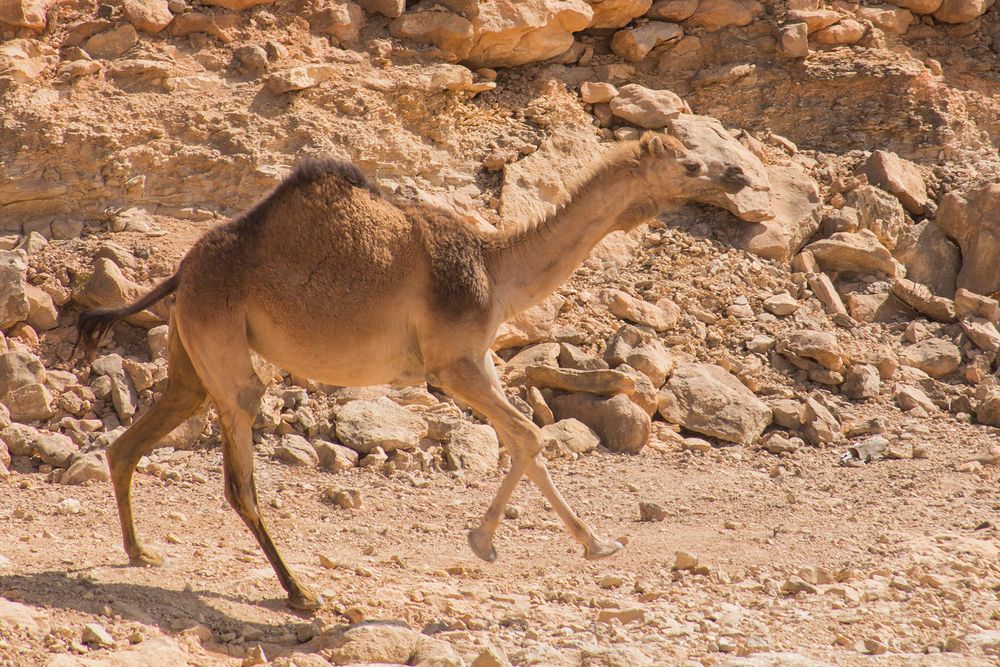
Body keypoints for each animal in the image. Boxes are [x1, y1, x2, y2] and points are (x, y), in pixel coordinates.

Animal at [78, 133, 752, 612]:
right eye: (692, 164)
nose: (740, 174)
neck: (494, 267)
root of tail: (183, 270)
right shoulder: (452, 365)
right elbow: (529, 434)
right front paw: (487, 541)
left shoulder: (479, 357)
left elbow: (525, 438)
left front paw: (593, 543)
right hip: (223, 344)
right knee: (240, 463)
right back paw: (302, 595)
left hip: (193, 350)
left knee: (138, 436)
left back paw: (140, 552)